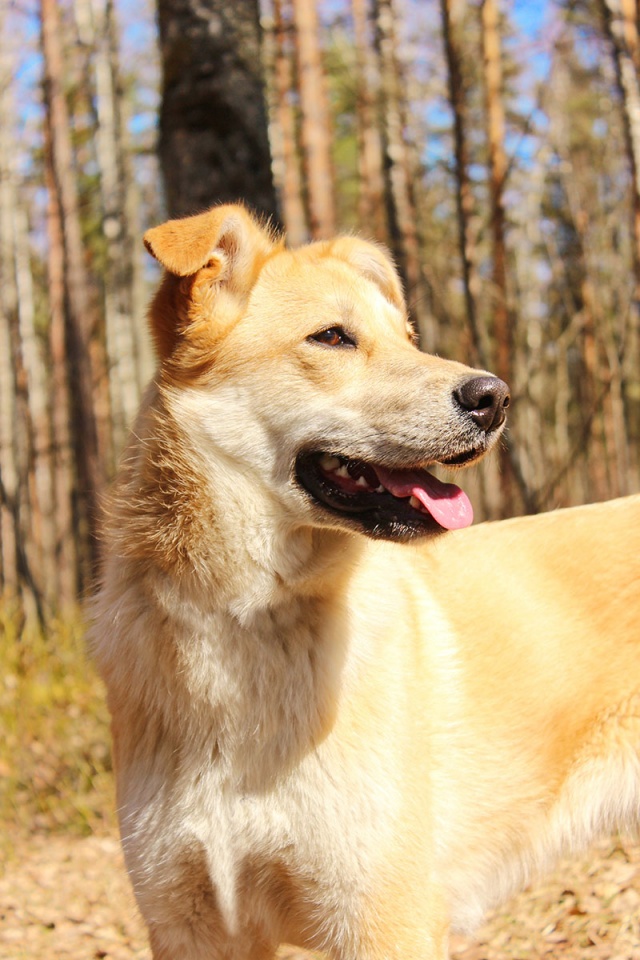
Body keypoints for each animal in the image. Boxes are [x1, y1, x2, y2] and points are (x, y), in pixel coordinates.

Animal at [91, 203, 640, 960]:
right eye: (332, 337)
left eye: (408, 338)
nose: (495, 397)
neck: (247, 621)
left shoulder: (386, 921)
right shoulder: (193, 924)